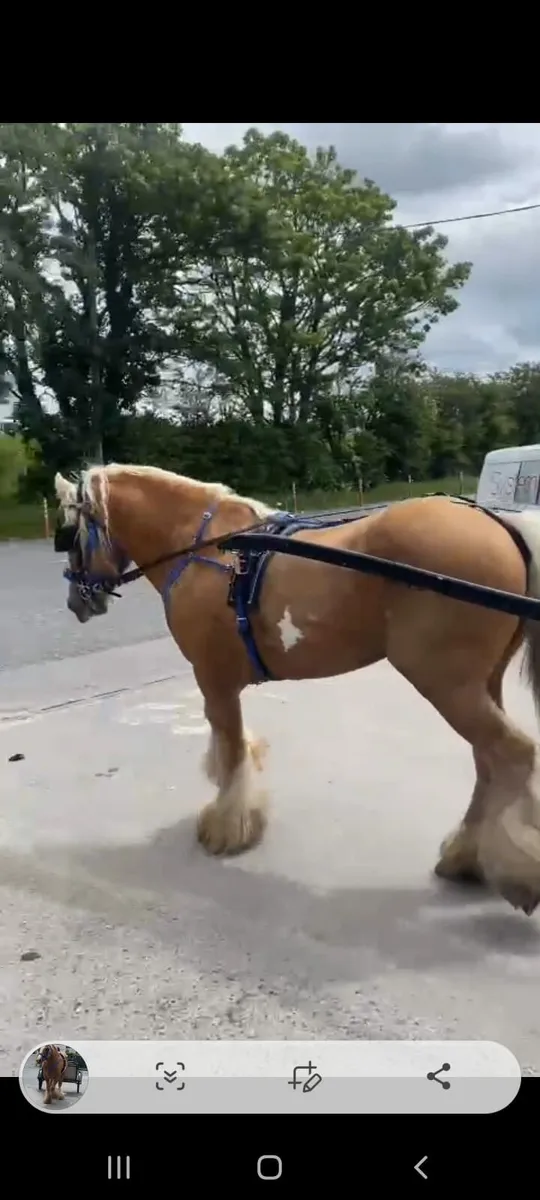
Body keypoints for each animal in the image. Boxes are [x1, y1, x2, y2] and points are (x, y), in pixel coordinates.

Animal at [53, 463, 540, 917]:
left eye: (68, 534)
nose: (77, 600)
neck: (205, 550)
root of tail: (498, 524)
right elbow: (230, 744)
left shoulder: (212, 677)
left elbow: (231, 747)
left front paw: (228, 826)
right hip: (479, 685)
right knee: (489, 763)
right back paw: (465, 856)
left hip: (447, 686)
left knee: (513, 754)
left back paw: (517, 874)